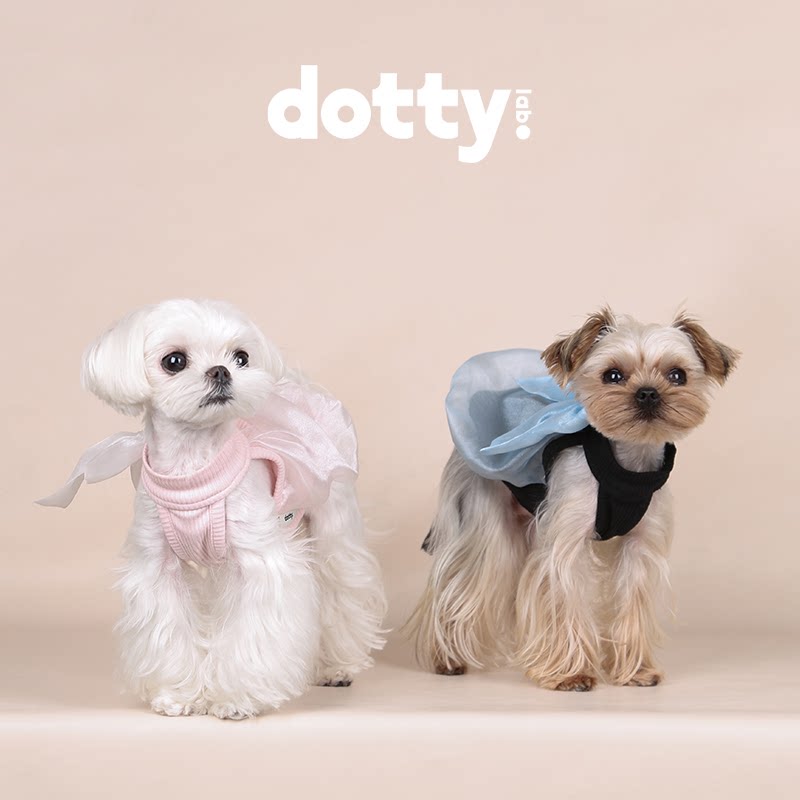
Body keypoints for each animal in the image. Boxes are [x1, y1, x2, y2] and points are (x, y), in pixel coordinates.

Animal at [39, 299, 386, 718]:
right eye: (174, 361)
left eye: (242, 357)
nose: (221, 370)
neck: (194, 469)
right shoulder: (157, 567)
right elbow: (169, 630)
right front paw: (177, 695)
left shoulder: (259, 563)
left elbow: (253, 632)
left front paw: (236, 698)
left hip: (333, 525)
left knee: (343, 591)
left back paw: (339, 666)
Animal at [407, 308, 738, 690]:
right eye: (612, 375)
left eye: (677, 375)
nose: (648, 393)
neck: (629, 461)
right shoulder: (566, 541)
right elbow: (565, 598)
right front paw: (571, 674)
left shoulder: (640, 544)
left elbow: (631, 599)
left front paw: (636, 671)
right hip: (484, 521)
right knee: (461, 584)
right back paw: (447, 659)